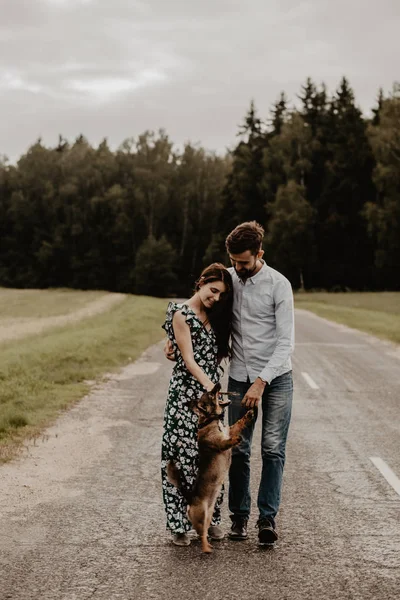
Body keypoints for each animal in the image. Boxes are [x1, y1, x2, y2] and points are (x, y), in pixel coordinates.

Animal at [167, 384, 255, 552]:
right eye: (211, 394)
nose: (217, 385)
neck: (210, 421)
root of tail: (190, 498)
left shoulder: (230, 429)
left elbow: (239, 424)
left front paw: (248, 415)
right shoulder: (220, 443)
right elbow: (228, 441)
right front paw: (236, 439)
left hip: (208, 516)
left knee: (203, 532)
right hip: (201, 516)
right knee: (201, 534)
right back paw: (206, 549)